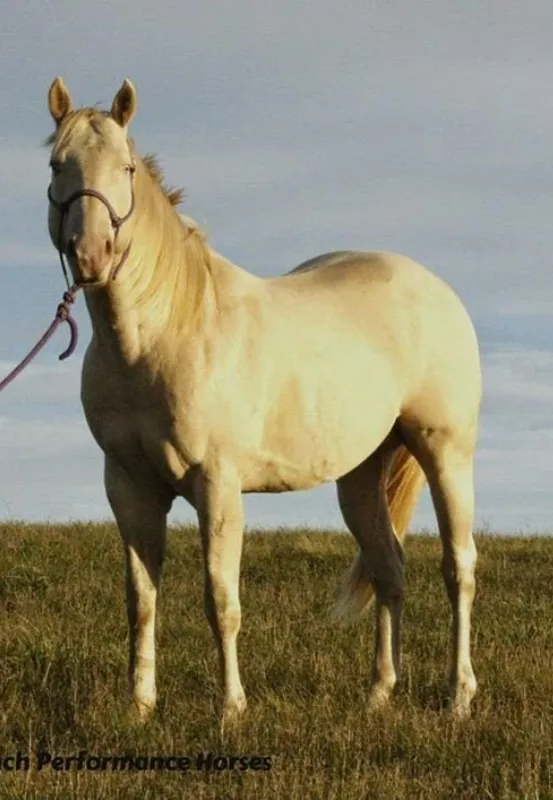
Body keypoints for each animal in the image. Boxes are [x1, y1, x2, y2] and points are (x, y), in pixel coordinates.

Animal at [45, 77, 482, 723]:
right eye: (57, 165)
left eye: (124, 167)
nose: (91, 255)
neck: (163, 335)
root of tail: (434, 288)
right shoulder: (129, 488)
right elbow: (141, 600)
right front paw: (140, 706)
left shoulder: (217, 487)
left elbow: (220, 600)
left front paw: (231, 708)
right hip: (360, 476)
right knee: (389, 568)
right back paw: (379, 693)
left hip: (445, 454)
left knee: (459, 569)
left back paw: (458, 697)